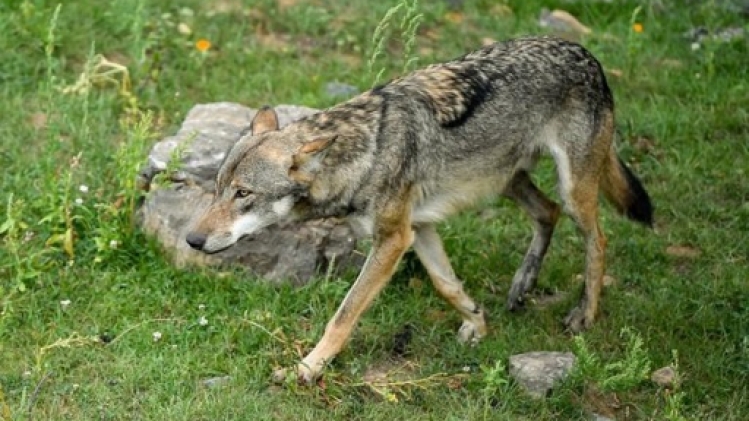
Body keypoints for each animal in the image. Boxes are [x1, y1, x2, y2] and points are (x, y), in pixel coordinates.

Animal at [185, 36, 653, 383]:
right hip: (505, 181)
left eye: (243, 194)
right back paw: (522, 285)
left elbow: (344, 314)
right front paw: (478, 323)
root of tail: (587, 54)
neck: (366, 152)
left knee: (598, 238)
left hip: (571, 189)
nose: (192, 239)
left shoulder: (393, 239)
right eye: (219, 189)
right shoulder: (419, 228)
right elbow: (446, 285)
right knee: (548, 212)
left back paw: (584, 314)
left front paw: (308, 368)